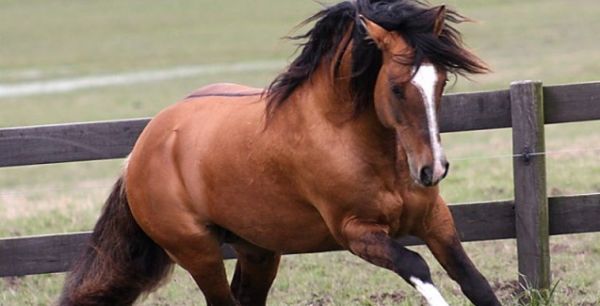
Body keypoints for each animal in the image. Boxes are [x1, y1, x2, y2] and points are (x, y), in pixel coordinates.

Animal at [59, 0, 502, 306]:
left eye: (441, 81)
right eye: (396, 87)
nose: (432, 170)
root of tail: (142, 147)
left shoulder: (435, 220)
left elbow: (474, 281)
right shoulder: (356, 232)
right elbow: (417, 266)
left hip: (257, 249)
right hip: (197, 251)